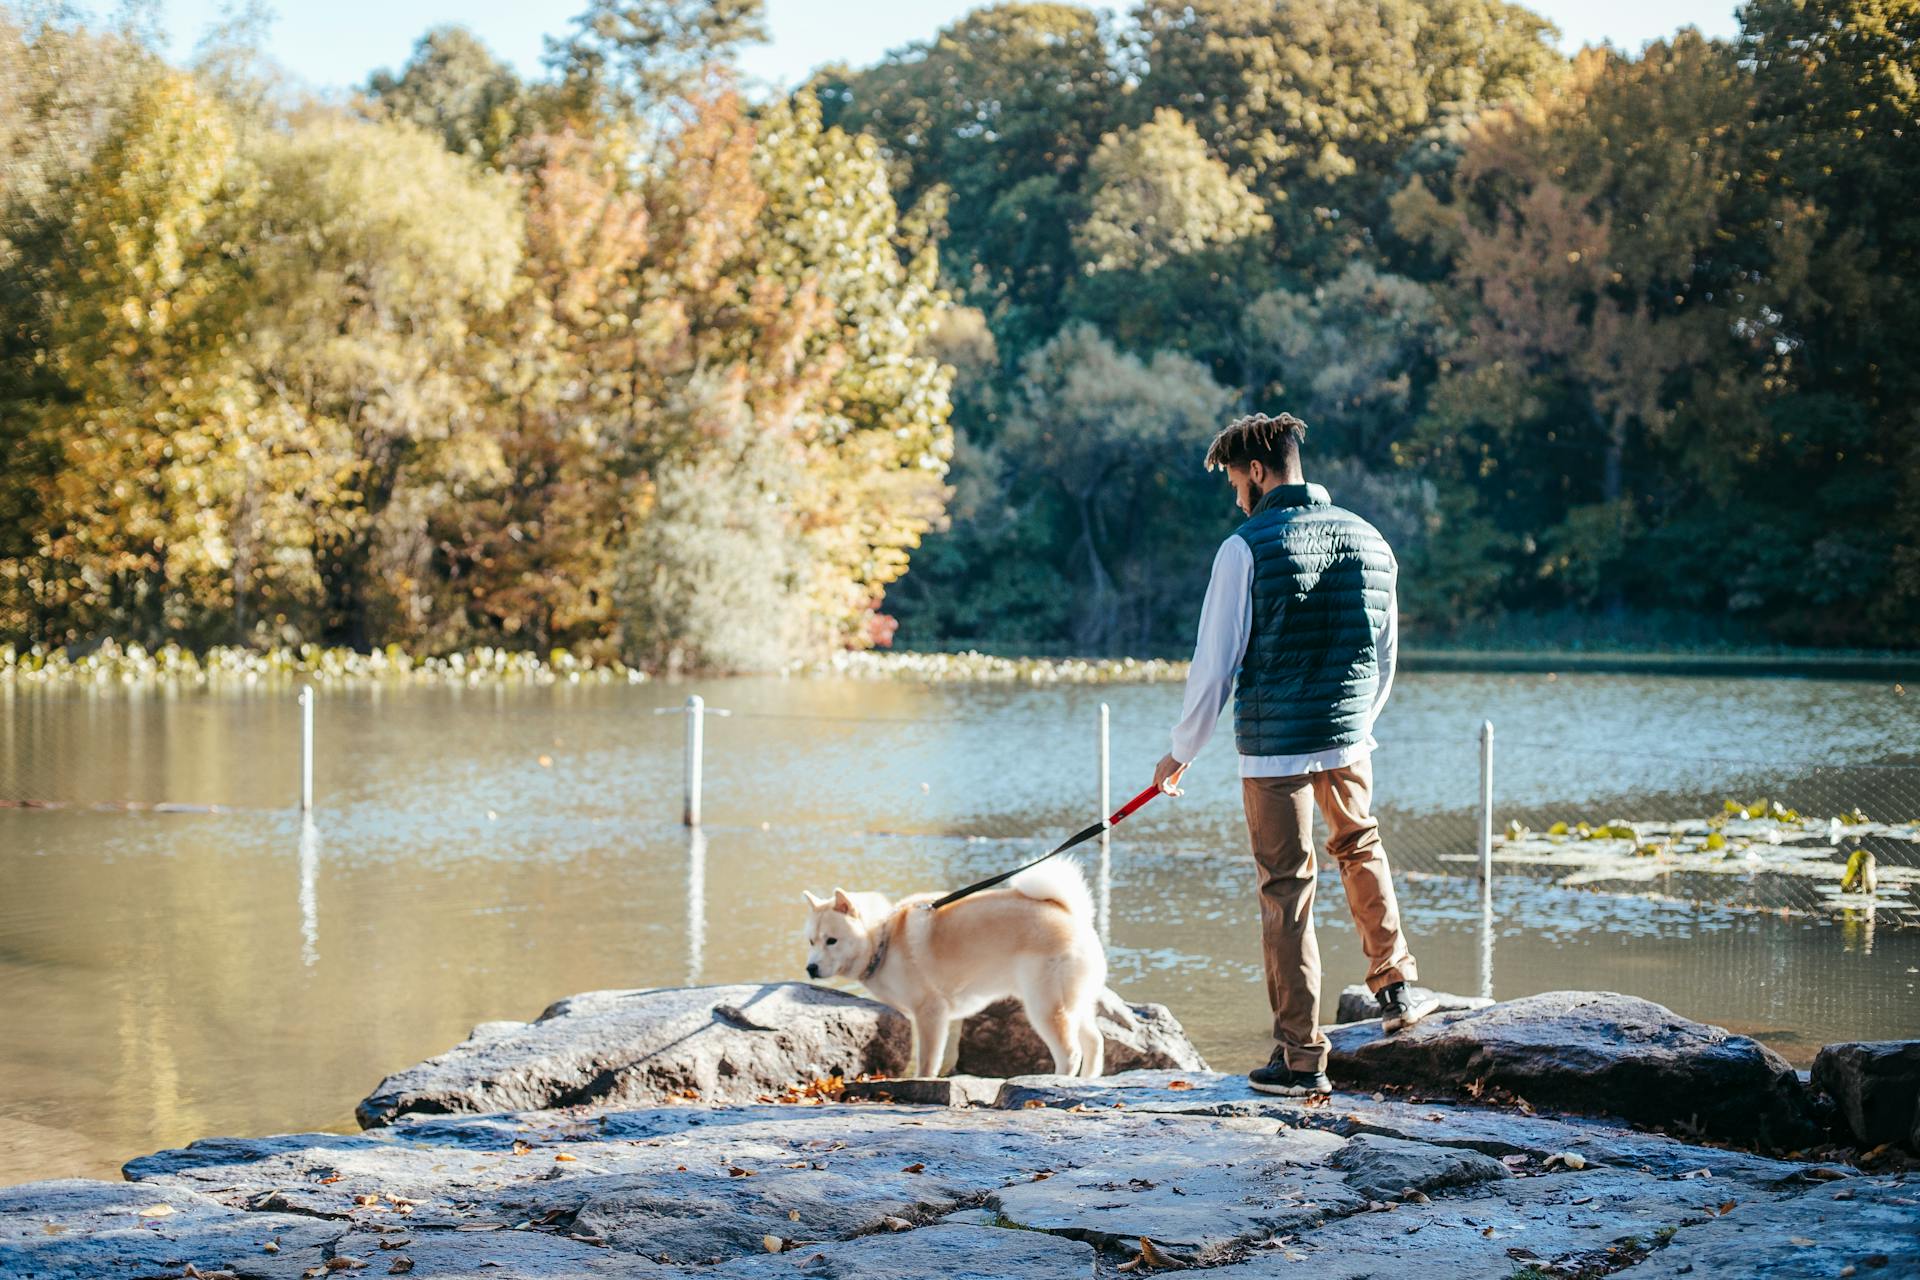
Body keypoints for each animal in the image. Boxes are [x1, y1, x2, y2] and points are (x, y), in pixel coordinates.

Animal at [802, 859, 1113, 1082]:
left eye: (832, 940)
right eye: (812, 941)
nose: (810, 968)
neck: (885, 936)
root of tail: (1070, 914)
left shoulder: (930, 1011)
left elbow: (927, 1060)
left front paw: (922, 1081)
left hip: (1045, 1006)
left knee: (1071, 1052)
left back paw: (1058, 1080)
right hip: (1076, 1003)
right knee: (1094, 1042)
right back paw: (1087, 1080)